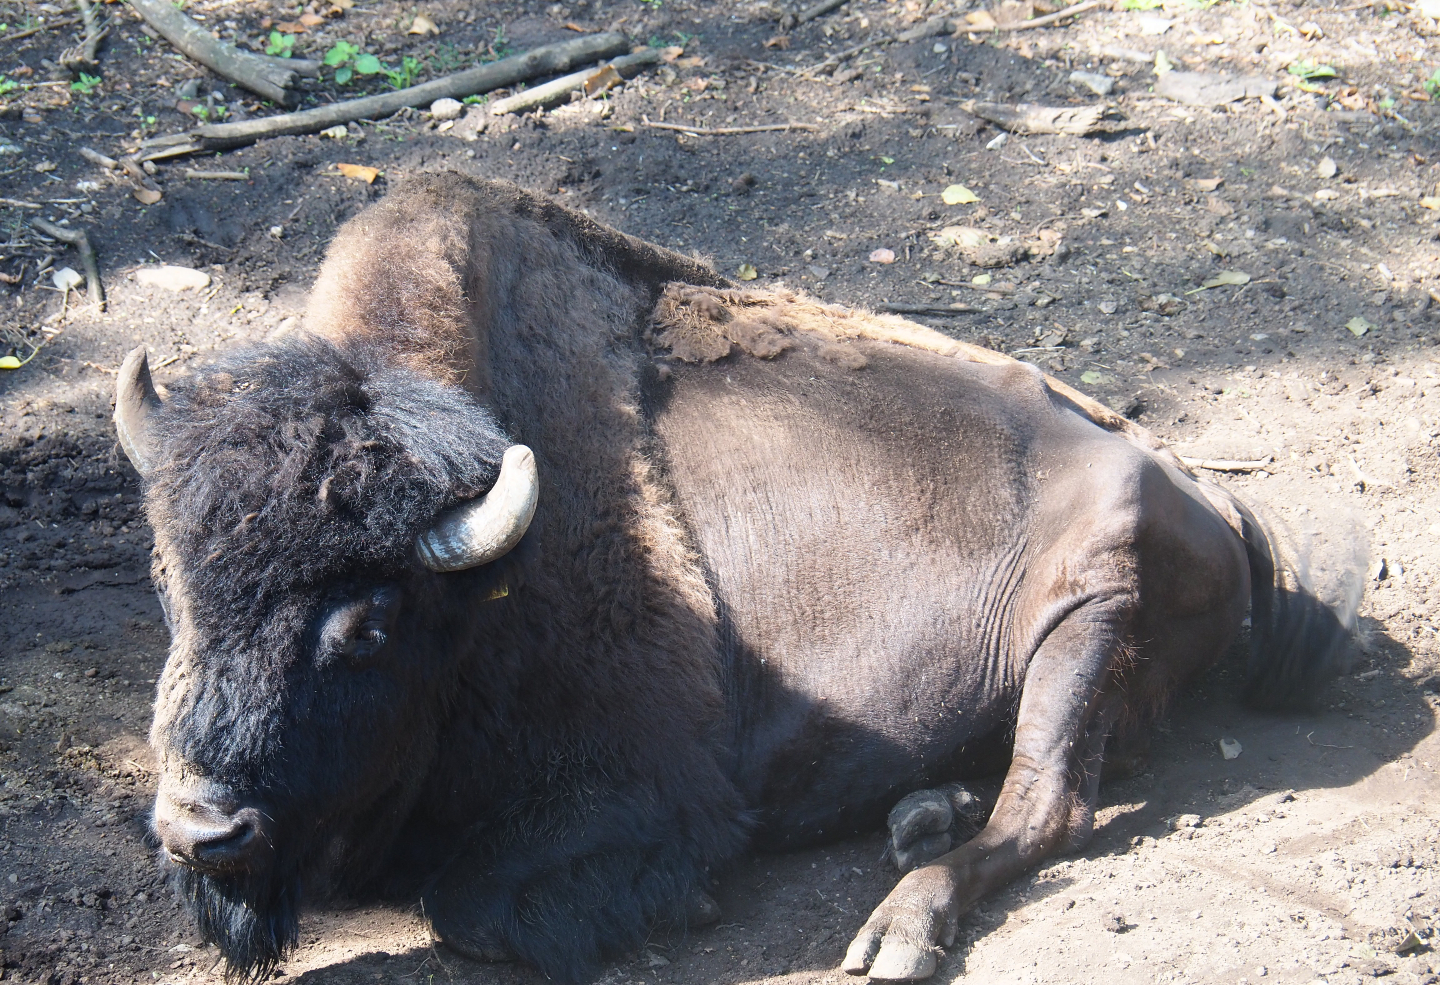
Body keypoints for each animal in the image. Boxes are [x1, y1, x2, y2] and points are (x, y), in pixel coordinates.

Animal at [114, 174, 1356, 983]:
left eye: (368, 623)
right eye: (170, 586)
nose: (200, 829)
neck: (484, 587)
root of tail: (1208, 492)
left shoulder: (648, 784)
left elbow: (469, 906)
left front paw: (693, 899)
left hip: (1089, 608)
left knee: (1052, 799)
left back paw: (899, 927)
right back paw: (921, 812)